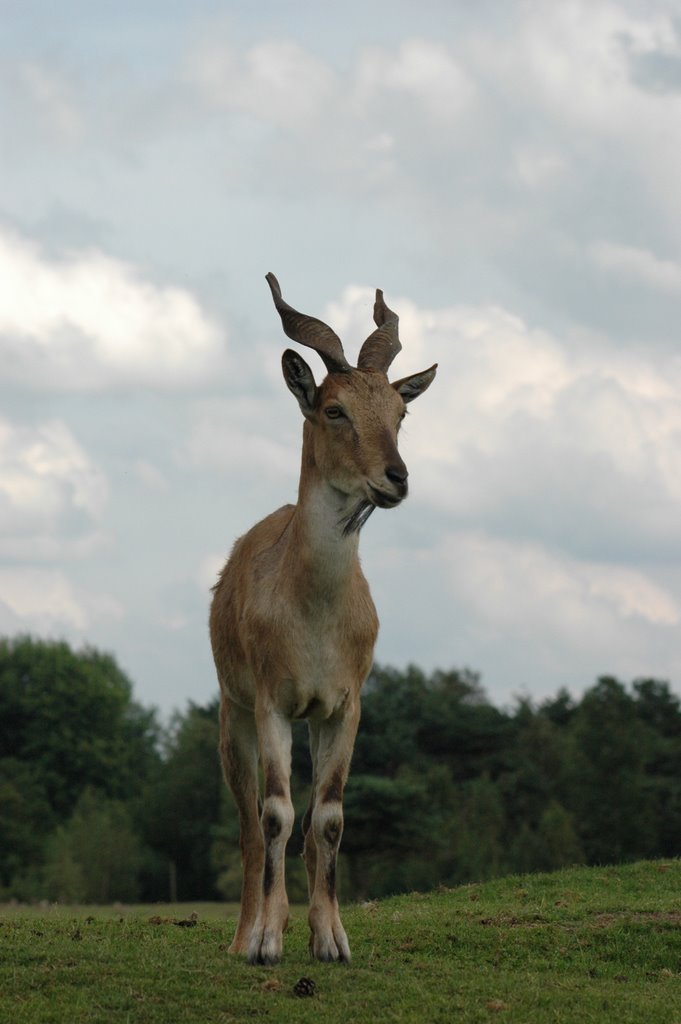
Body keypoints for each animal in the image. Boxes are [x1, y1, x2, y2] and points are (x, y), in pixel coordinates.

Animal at [209, 276, 438, 962]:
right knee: (250, 824)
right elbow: (276, 814)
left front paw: (332, 939)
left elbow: (328, 817)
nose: (396, 477)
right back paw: (248, 931)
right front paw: (264, 942)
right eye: (333, 409)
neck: (312, 621)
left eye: (400, 413)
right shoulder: (272, 702)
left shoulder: (342, 705)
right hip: (232, 715)